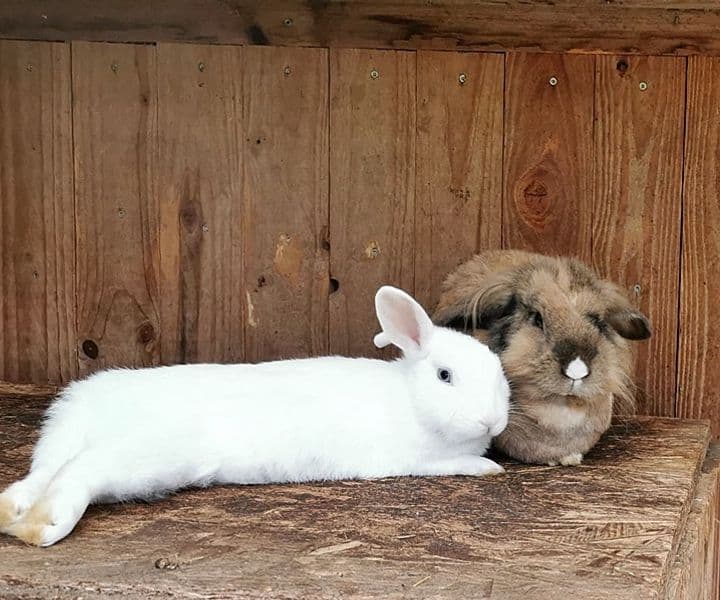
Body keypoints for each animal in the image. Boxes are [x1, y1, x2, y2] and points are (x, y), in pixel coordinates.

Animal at [0, 285, 509, 547]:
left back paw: (12, 513)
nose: (493, 422)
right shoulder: (418, 459)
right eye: (445, 375)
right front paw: (489, 466)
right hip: (147, 453)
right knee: (78, 472)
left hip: (67, 447)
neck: (409, 398)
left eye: (499, 372)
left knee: (42, 474)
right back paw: (44, 526)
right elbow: (459, 464)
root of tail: (92, 413)